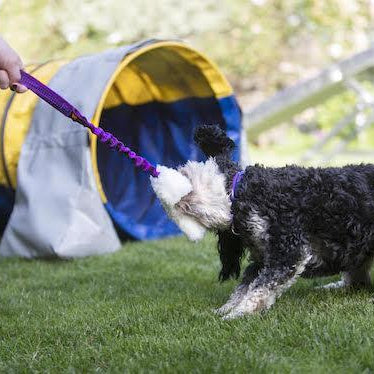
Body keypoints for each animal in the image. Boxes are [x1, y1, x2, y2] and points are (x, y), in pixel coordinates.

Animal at [150, 125, 374, 318]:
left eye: (186, 174)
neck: (243, 191)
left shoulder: (288, 251)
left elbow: (259, 290)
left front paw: (236, 315)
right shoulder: (262, 258)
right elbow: (243, 289)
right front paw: (224, 310)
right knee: (356, 282)